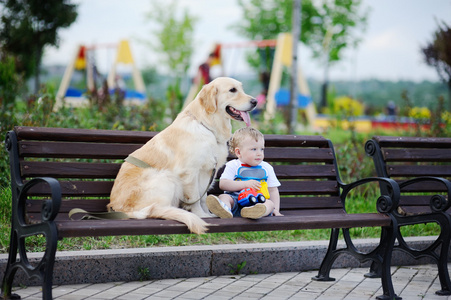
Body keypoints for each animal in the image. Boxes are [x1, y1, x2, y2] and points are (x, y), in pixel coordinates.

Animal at [108, 77, 258, 234]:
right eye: (232, 90)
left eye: (241, 88)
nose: (255, 102)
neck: (207, 127)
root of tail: (120, 209)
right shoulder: (190, 172)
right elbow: (195, 197)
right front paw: (200, 215)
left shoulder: (206, 172)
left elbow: (203, 197)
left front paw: (208, 213)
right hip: (165, 177)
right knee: (155, 210)